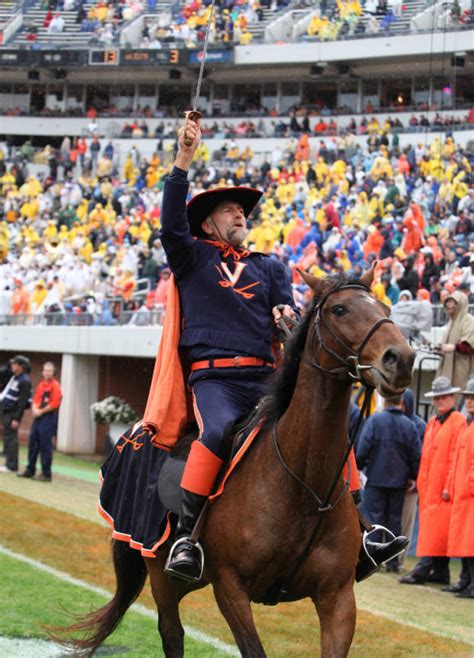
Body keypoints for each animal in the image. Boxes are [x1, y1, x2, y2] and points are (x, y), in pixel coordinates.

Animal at [58, 264, 414, 652]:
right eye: (340, 309)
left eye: (385, 307)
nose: (401, 359)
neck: (301, 485)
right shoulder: (230, 589)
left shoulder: (337, 596)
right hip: (163, 576)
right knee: (172, 633)